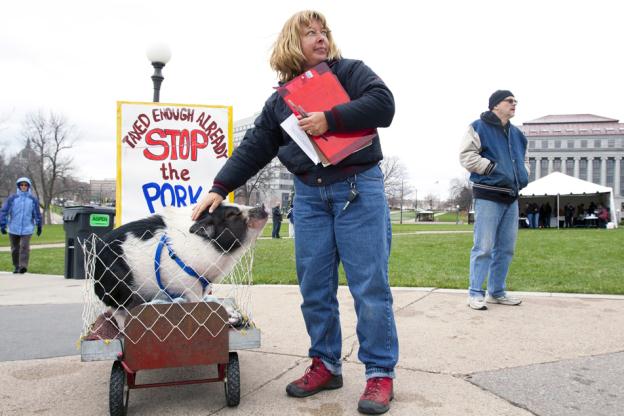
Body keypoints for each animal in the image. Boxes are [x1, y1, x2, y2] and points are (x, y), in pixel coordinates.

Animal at [91, 203, 266, 330]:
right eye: (231, 214)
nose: (262, 206)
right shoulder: (190, 285)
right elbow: (198, 304)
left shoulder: (203, 284)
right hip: (118, 289)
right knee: (117, 311)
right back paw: (124, 330)